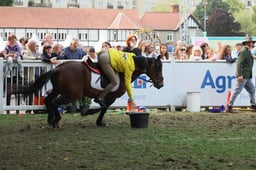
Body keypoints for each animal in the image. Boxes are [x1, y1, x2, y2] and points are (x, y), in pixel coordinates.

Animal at [15, 55, 164, 127]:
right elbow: (104, 107)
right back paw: (56, 120)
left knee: (47, 100)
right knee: (55, 103)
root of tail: (58, 68)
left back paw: (50, 119)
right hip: (72, 94)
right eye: (158, 67)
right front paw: (98, 120)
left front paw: (91, 114)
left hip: (58, 90)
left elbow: (101, 107)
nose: (161, 84)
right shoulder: (112, 96)